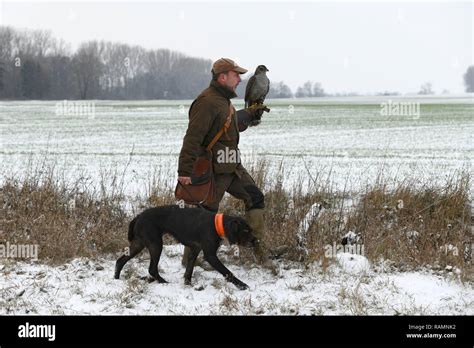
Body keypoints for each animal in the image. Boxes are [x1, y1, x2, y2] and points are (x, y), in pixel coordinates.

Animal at [114, 205, 256, 290]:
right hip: (155, 244)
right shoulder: (210, 255)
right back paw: (163, 282)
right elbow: (227, 272)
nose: (256, 241)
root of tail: (138, 216)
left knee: (120, 261)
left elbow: (189, 270)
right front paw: (242, 285)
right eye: (245, 231)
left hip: (139, 243)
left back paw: (116, 279)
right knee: (152, 269)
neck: (217, 225)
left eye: (250, 230)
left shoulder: (195, 250)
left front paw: (188, 284)